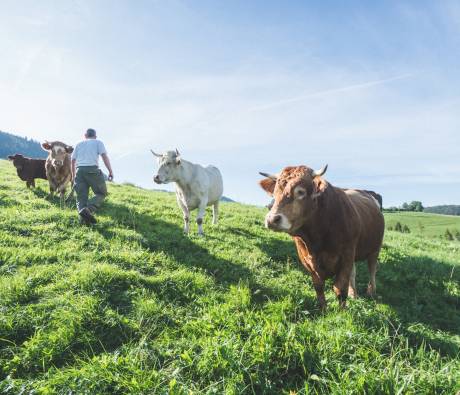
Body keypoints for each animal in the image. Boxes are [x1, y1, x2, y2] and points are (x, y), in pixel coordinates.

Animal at [258, 164, 384, 310]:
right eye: (274, 192)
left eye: (300, 192)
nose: (272, 219)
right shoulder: (306, 258)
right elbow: (318, 286)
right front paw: (323, 309)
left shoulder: (347, 255)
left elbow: (340, 288)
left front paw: (342, 311)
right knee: (354, 273)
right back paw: (353, 293)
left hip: (375, 248)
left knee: (372, 269)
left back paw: (371, 291)